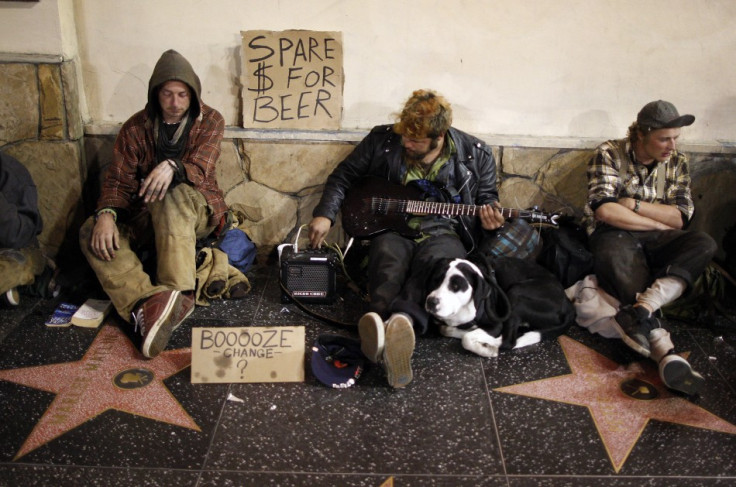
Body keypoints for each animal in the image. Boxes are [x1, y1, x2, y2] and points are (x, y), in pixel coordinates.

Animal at [426, 255, 576, 358]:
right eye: (435, 280)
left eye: (456, 286)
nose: (431, 302)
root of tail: (568, 304)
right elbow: (446, 329)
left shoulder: (496, 324)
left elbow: (466, 339)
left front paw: (484, 349)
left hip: (516, 294)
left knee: (508, 341)